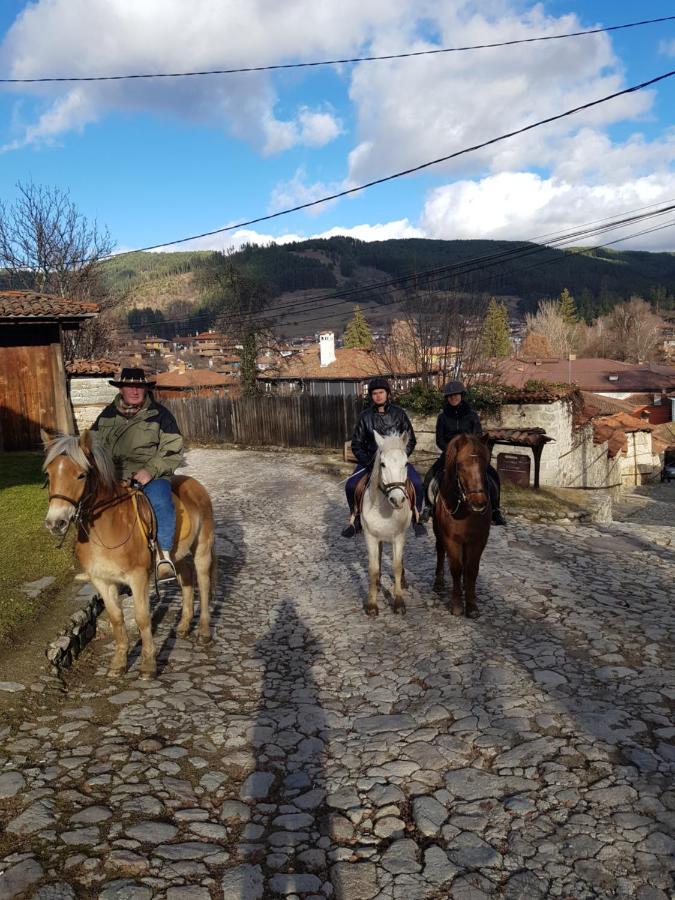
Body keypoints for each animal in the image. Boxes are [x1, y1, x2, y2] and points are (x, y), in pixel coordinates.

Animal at [42, 428, 215, 676]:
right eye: (48, 475)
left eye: (81, 475)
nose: (56, 523)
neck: (106, 528)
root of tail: (194, 485)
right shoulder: (102, 581)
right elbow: (116, 619)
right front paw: (119, 663)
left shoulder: (138, 577)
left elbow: (142, 619)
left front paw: (148, 664)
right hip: (178, 555)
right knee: (187, 581)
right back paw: (183, 626)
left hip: (202, 550)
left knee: (203, 582)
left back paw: (203, 631)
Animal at [362, 430, 414, 616]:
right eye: (382, 464)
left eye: (406, 463)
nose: (397, 500)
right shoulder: (370, 536)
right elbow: (373, 569)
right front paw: (371, 604)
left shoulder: (398, 536)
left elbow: (396, 566)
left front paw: (398, 602)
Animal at [434, 434, 492, 620]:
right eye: (460, 465)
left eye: (485, 465)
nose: (479, 502)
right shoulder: (451, 540)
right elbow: (456, 568)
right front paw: (458, 605)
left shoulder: (478, 540)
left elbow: (471, 569)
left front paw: (472, 605)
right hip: (439, 533)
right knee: (440, 551)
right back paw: (438, 582)